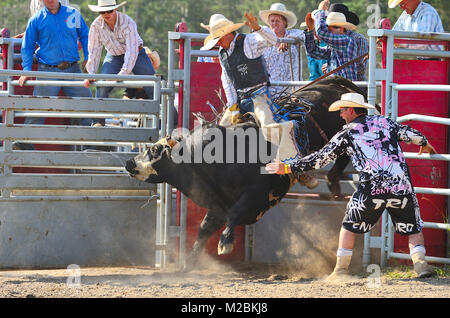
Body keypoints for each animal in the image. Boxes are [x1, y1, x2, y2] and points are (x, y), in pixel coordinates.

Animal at [125, 76, 370, 270]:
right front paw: (189, 263)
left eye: (154, 150)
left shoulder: (256, 194)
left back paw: (334, 179)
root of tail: (334, 82)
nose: (129, 162)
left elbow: (235, 213)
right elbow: (204, 230)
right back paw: (333, 181)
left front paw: (225, 244)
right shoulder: (218, 205)